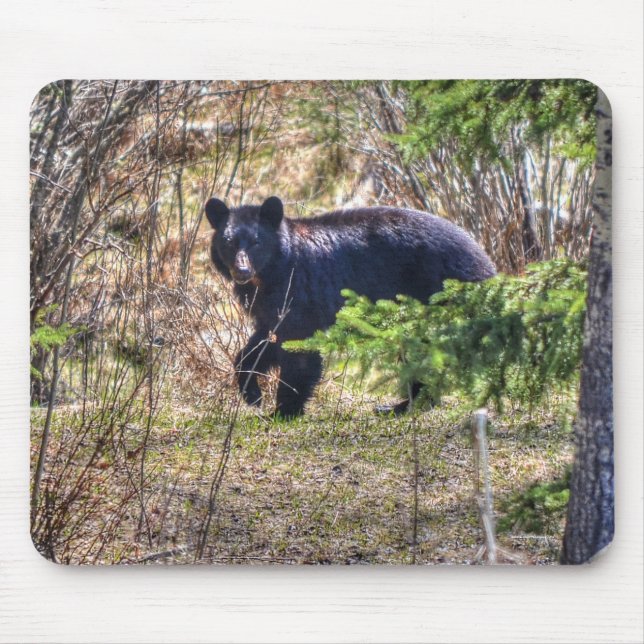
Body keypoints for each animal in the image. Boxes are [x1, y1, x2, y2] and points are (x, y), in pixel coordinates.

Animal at [206, 196, 496, 418]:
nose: (242, 271)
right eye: (229, 242)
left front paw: (284, 410)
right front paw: (253, 394)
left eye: (256, 242)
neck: (269, 275)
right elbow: (261, 344)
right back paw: (402, 405)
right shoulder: (268, 306)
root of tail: (484, 260)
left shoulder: (299, 291)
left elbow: (298, 348)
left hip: (433, 293)